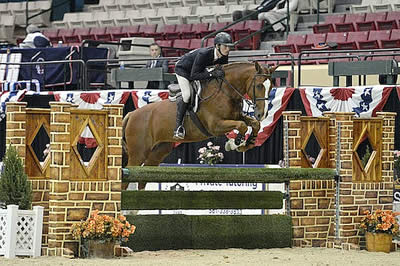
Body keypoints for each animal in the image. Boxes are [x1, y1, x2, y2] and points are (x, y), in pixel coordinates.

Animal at [122, 61, 278, 167]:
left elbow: (254, 124)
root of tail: (131, 114)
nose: (262, 114)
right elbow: (242, 126)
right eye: (259, 86)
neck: (226, 92)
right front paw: (235, 143)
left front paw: (248, 143)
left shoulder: (235, 117)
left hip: (158, 151)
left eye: (271, 86)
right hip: (138, 153)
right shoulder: (215, 126)